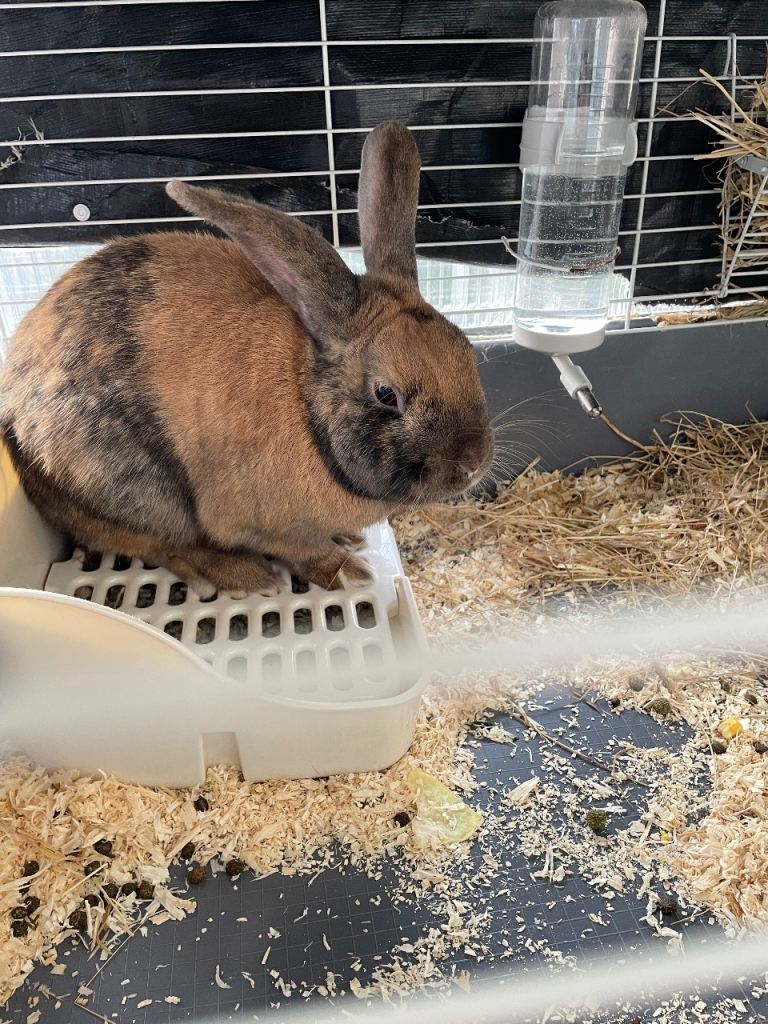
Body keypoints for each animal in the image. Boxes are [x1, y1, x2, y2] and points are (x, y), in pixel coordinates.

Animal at [0, 122, 494, 598]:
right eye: (386, 394)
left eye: (466, 352)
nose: (473, 463)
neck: (307, 407)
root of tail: (14, 410)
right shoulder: (267, 527)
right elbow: (306, 552)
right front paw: (348, 572)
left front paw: (348, 540)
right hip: (141, 492)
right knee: (163, 545)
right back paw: (247, 576)